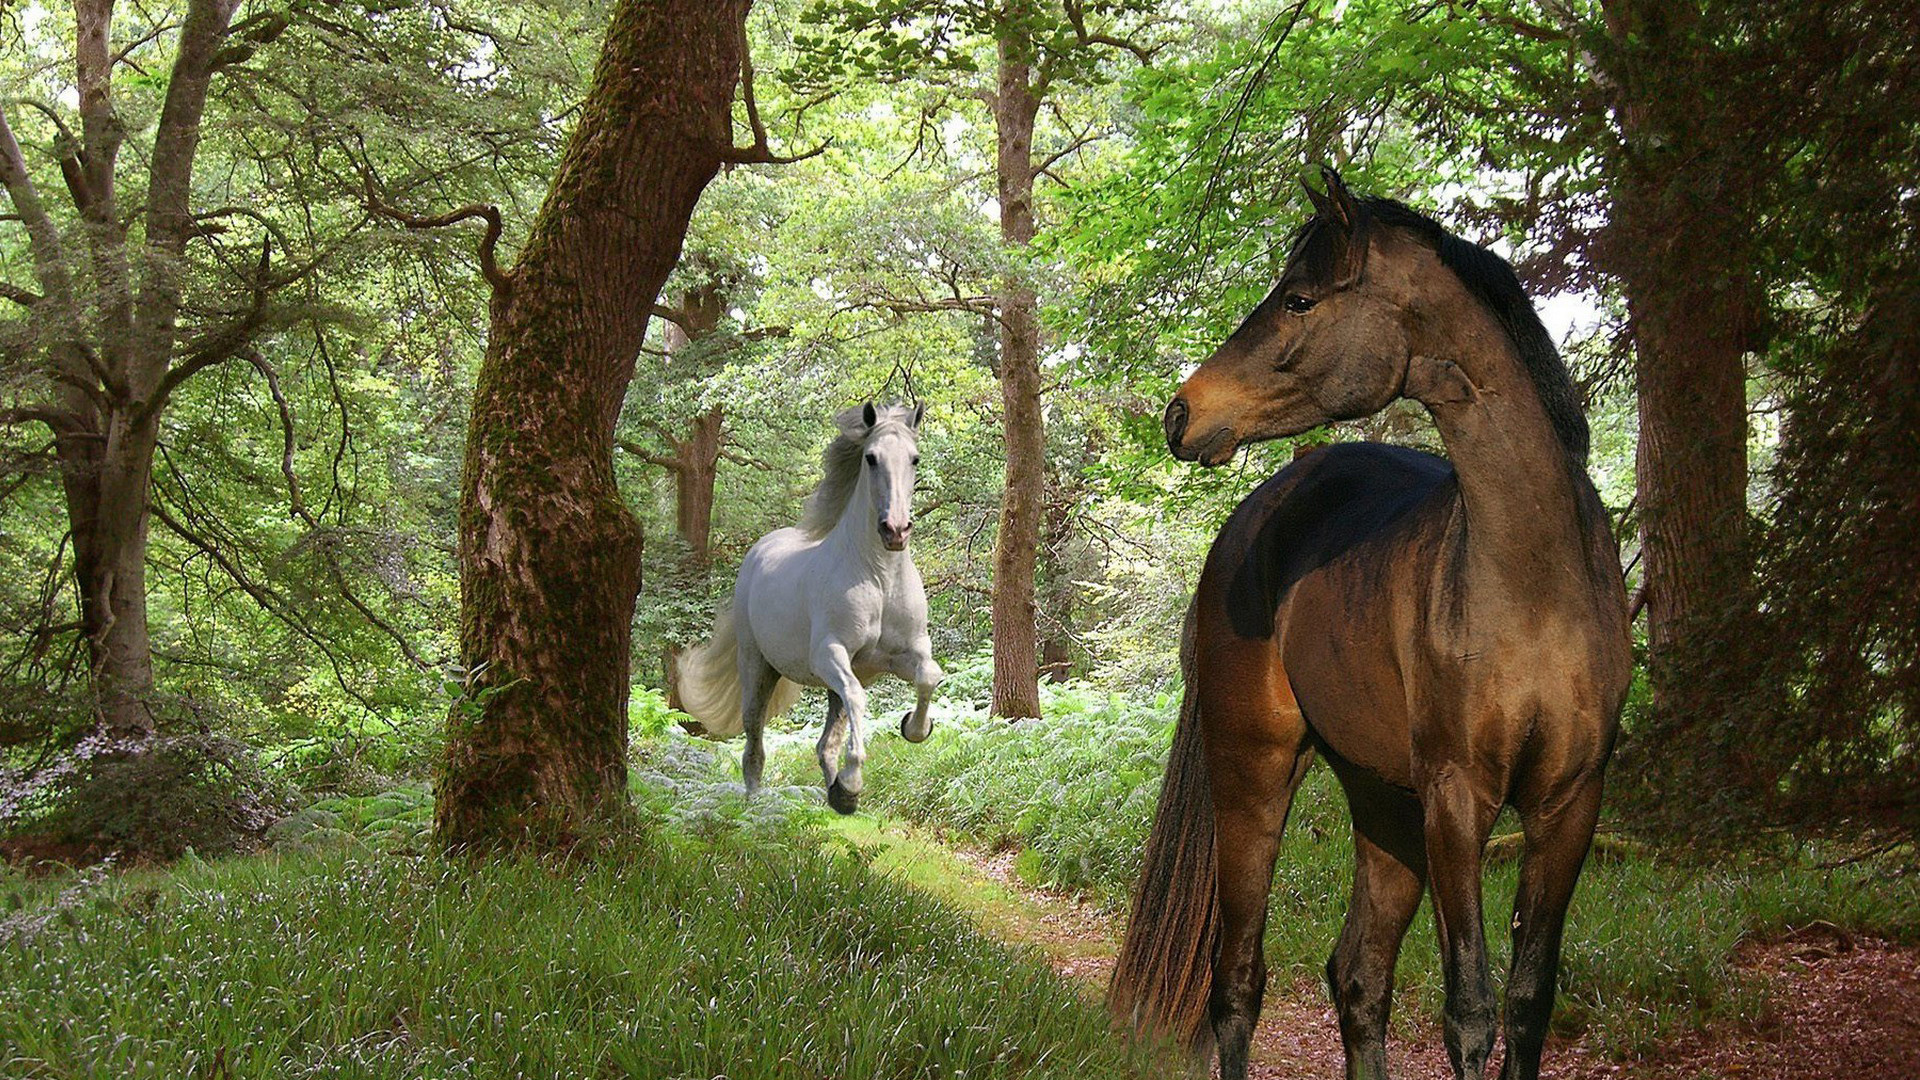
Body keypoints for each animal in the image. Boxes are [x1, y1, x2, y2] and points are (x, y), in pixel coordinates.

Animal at [676, 402, 944, 815]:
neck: (879, 578)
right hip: (757, 667)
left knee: (825, 741)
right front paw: (852, 784)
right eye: (871, 458)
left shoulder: (900, 654)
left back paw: (835, 793)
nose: (895, 530)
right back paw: (757, 808)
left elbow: (929, 676)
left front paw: (914, 729)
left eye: (915, 459)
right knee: (754, 743)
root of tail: (760, 550)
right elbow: (859, 698)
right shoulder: (828, 654)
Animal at [1109, 169, 1631, 1080]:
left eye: (1299, 298)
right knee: (1237, 980)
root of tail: (1253, 520)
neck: (1537, 585)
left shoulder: (1569, 804)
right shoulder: (1458, 801)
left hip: (1383, 800)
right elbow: (1471, 1013)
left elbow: (1528, 1002)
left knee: (1358, 978)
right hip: (1255, 775)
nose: (1181, 413)